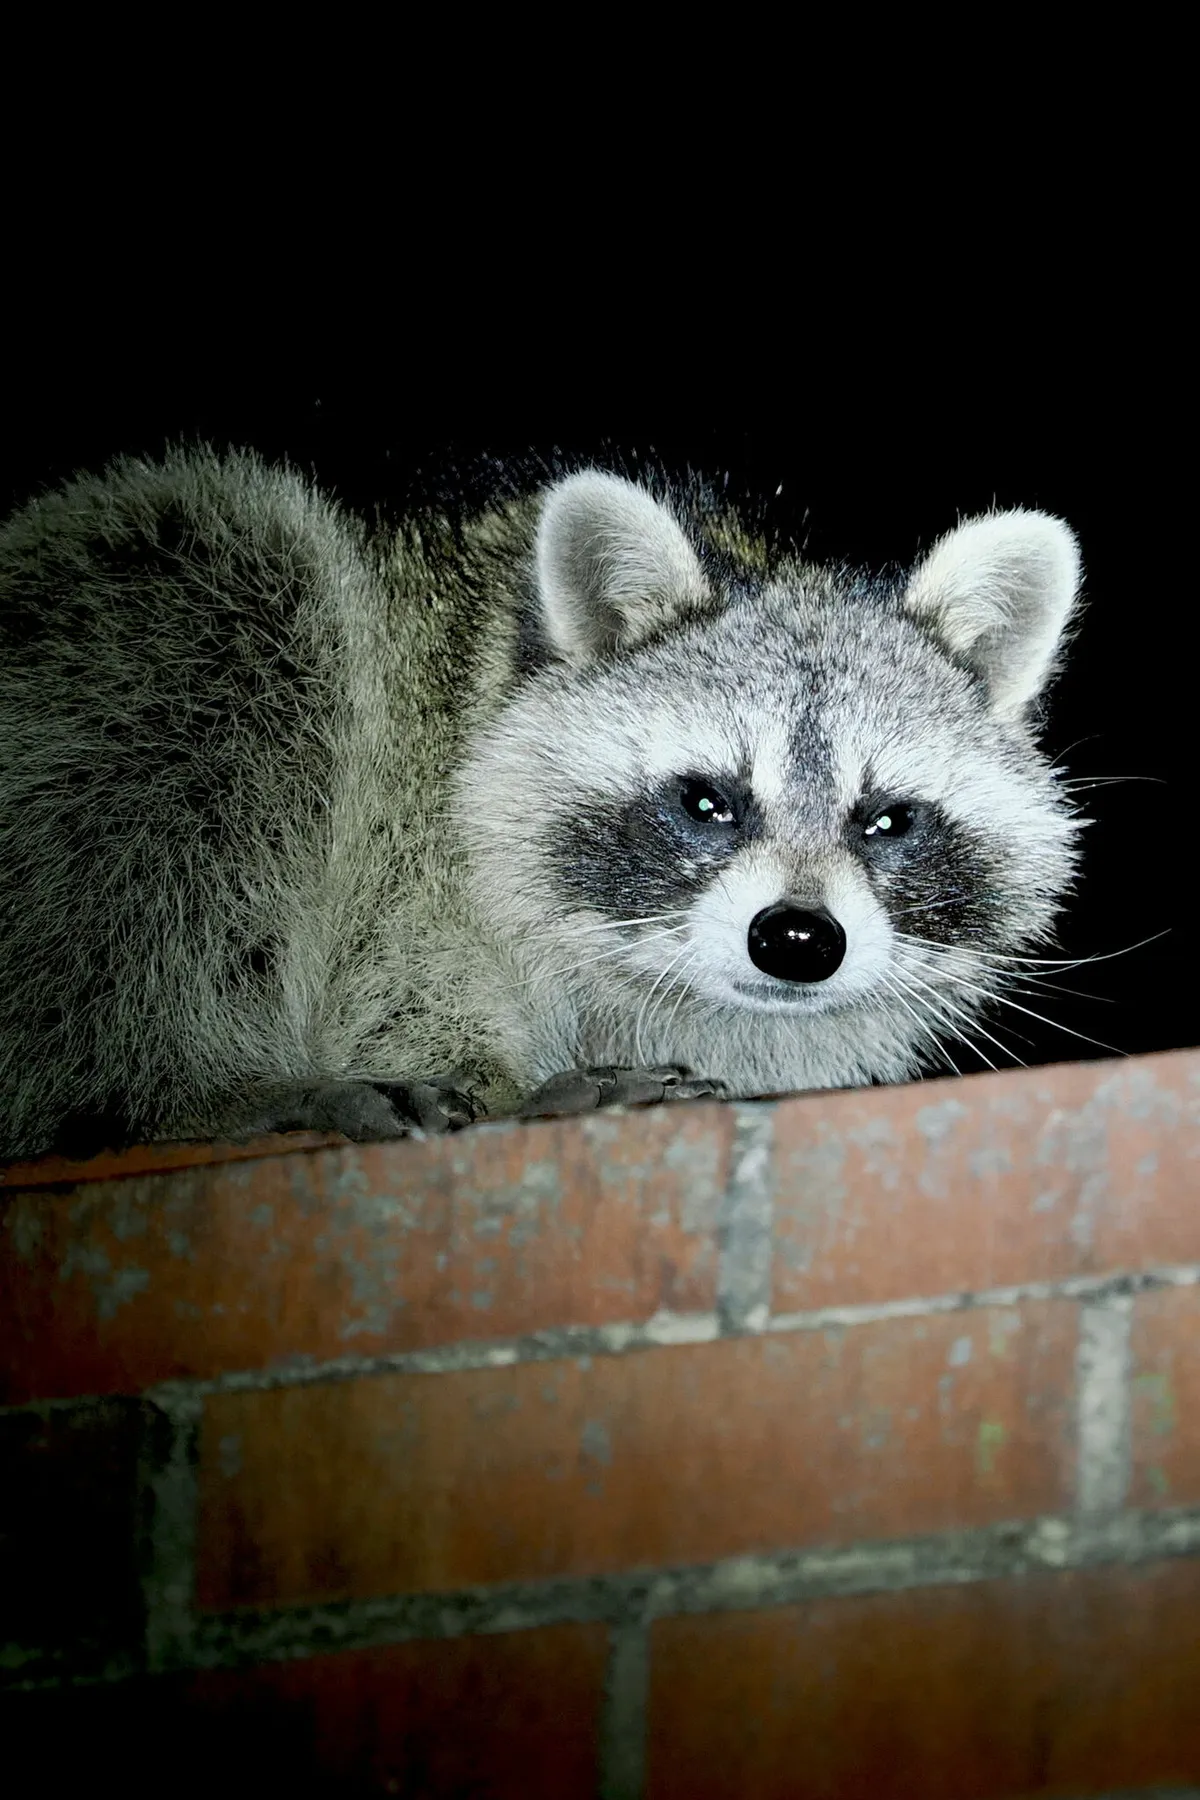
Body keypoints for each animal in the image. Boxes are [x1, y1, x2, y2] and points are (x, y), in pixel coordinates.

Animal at [0, 448, 1081, 1159]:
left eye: (886, 820)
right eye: (706, 802)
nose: (799, 940)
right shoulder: (419, 811)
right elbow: (405, 959)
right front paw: (497, 1078)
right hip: (123, 634)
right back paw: (180, 1091)